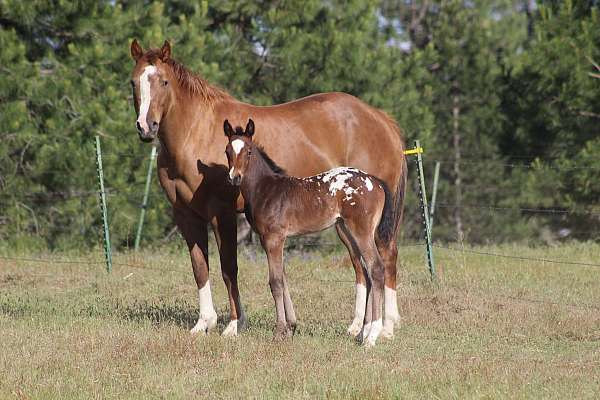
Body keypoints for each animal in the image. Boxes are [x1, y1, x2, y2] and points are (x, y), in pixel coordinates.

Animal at [223, 119, 392, 346]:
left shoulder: (274, 238)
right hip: (349, 231)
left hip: (361, 232)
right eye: (227, 151)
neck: (266, 189)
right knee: (366, 272)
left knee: (377, 269)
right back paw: (362, 333)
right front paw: (290, 328)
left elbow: (275, 282)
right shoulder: (273, 240)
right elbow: (283, 277)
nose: (234, 177)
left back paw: (371, 337)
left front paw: (279, 331)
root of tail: (376, 182)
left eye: (249, 151)